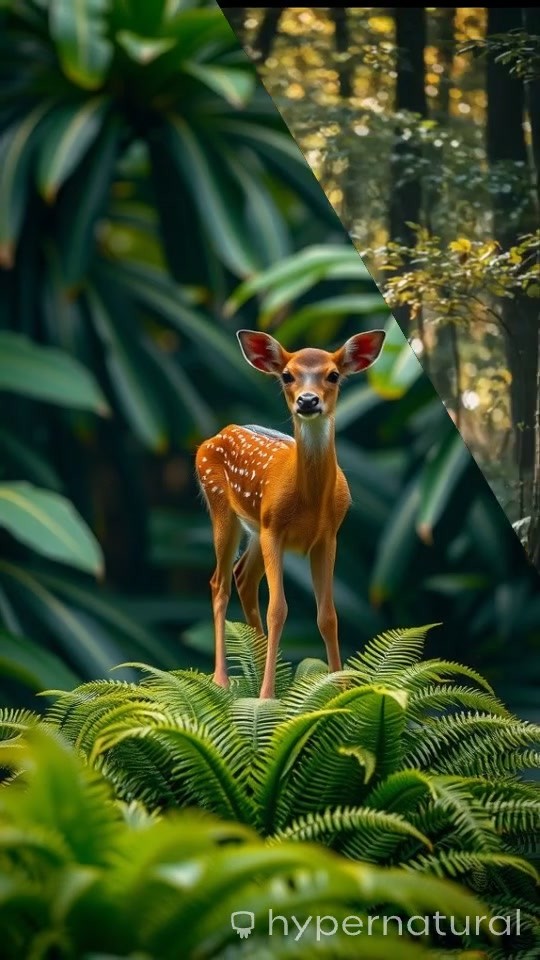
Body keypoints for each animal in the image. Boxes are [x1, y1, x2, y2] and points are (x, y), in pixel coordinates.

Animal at [195, 328, 386, 699]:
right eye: (287, 375)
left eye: (333, 375)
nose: (307, 401)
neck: (310, 502)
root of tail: (216, 434)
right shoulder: (276, 530)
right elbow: (278, 609)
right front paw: (267, 696)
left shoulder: (328, 537)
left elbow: (328, 615)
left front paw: (340, 690)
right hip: (223, 508)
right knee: (219, 582)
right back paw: (223, 679)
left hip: (256, 529)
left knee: (243, 577)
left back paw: (261, 671)